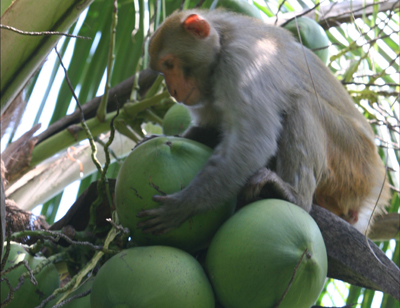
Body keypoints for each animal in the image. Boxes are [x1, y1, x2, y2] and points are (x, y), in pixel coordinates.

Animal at [136, 10, 390, 236]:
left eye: (169, 64)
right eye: (163, 69)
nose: (172, 90)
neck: (222, 43)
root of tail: (376, 186)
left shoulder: (243, 63)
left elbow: (253, 142)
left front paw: (184, 205)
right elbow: (212, 128)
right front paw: (167, 138)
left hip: (355, 166)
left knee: (303, 103)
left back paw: (296, 196)